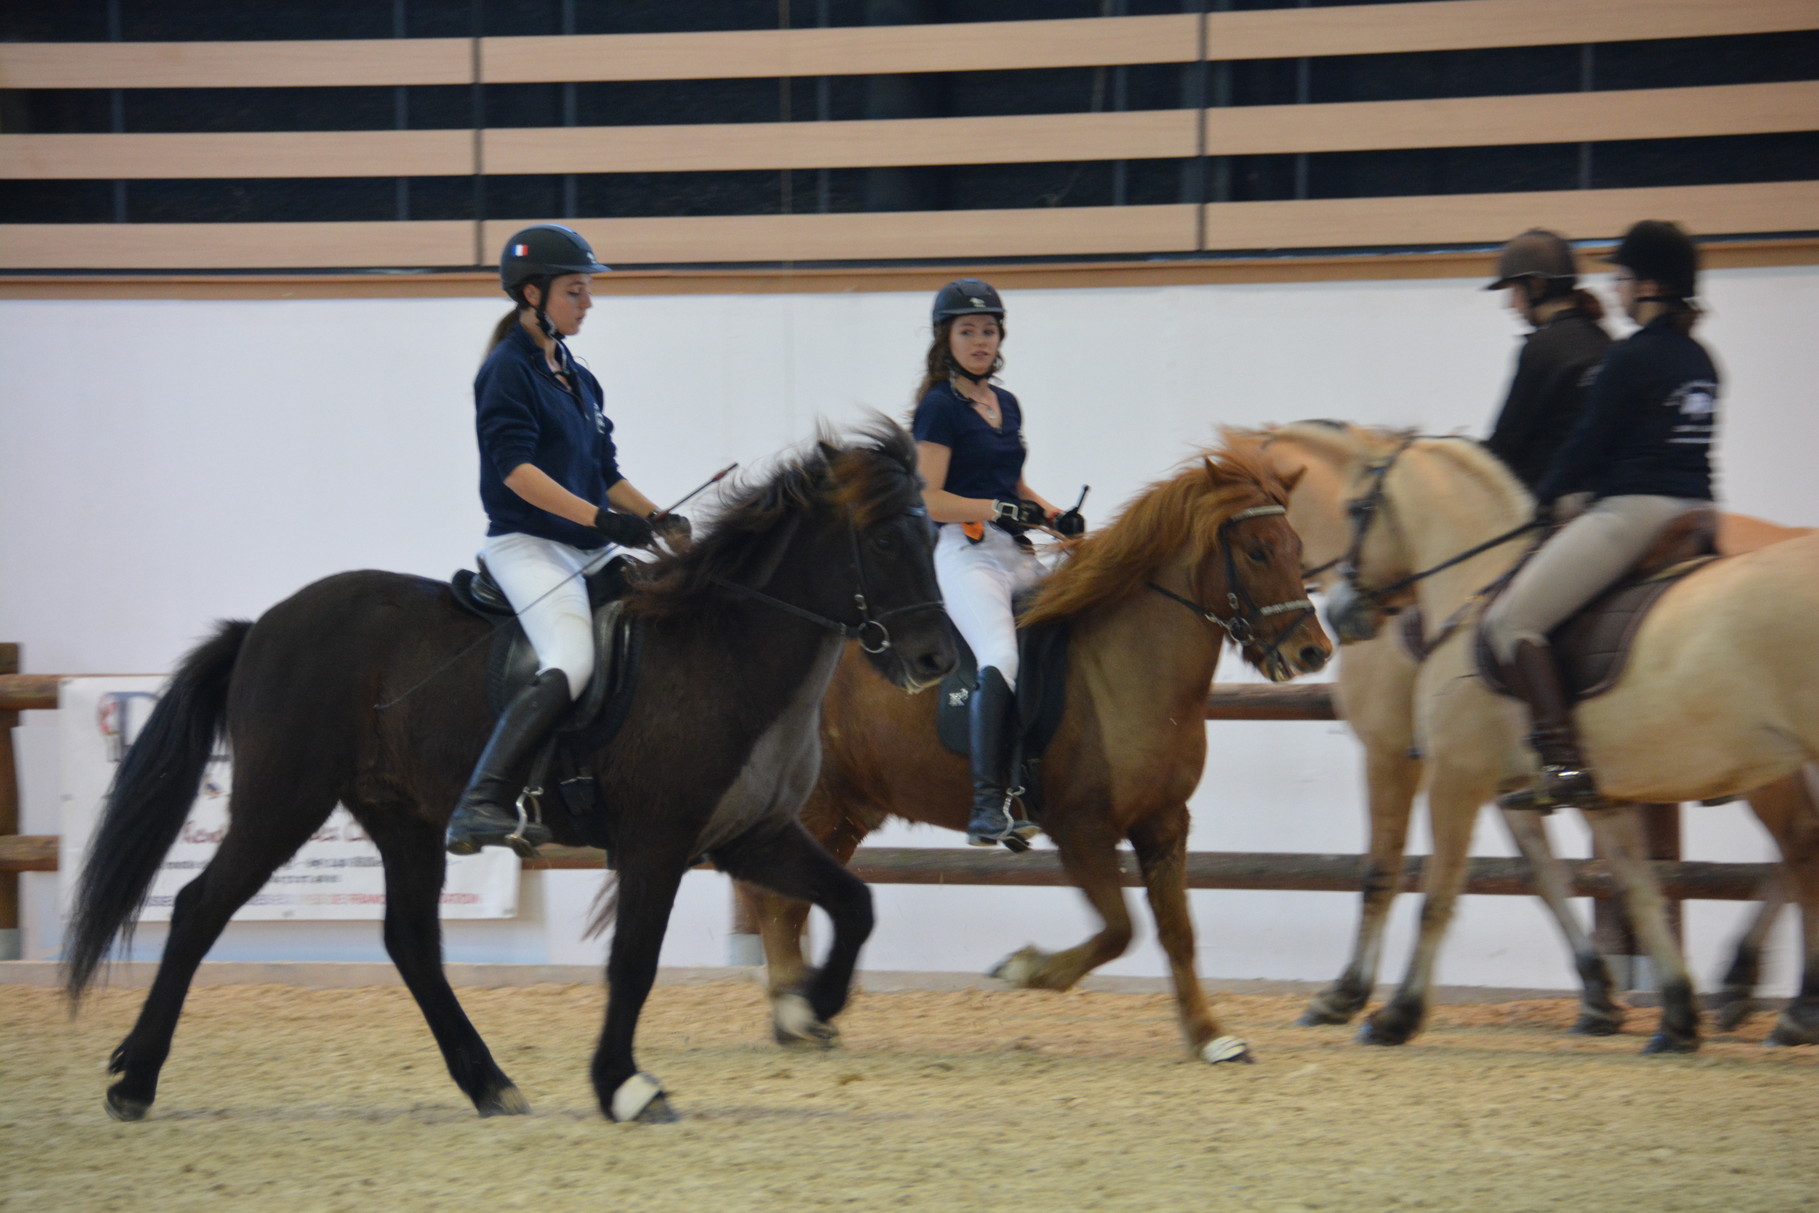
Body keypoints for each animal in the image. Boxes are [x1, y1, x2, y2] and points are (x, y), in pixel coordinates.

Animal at [64, 421, 960, 1127]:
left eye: (929, 538)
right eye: (886, 540)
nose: (934, 661)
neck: (725, 647)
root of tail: (260, 627)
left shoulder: (750, 833)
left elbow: (854, 902)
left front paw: (812, 1005)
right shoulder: (657, 841)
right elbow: (633, 961)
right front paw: (624, 1085)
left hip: (403, 815)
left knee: (411, 941)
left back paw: (488, 1082)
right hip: (283, 802)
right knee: (198, 907)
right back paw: (134, 1080)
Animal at [742, 438, 1338, 1062]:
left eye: (1296, 547)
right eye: (1257, 552)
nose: (1312, 652)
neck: (1127, 667)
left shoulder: (1165, 822)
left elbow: (1177, 932)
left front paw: (1210, 1036)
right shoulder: (1082, 829)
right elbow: (1120, 930)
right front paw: (1025, 969)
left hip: (847, 812)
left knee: (792, 900)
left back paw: (799, 1011)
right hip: (818, 805)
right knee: (775, 903)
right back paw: (794, 1012)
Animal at [1258, 421, 1819, 1047]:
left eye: (1356, 509)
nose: (1340, 618)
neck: (1476, 584)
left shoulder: (1438, 768)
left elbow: (1423, 887)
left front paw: (1385, 1010)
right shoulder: (1572, 788)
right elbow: (1620, 886)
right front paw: (1664, 1013)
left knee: (1801, 847)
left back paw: (1788, 1005)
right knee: (1797, 850)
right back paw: (1757, 995)